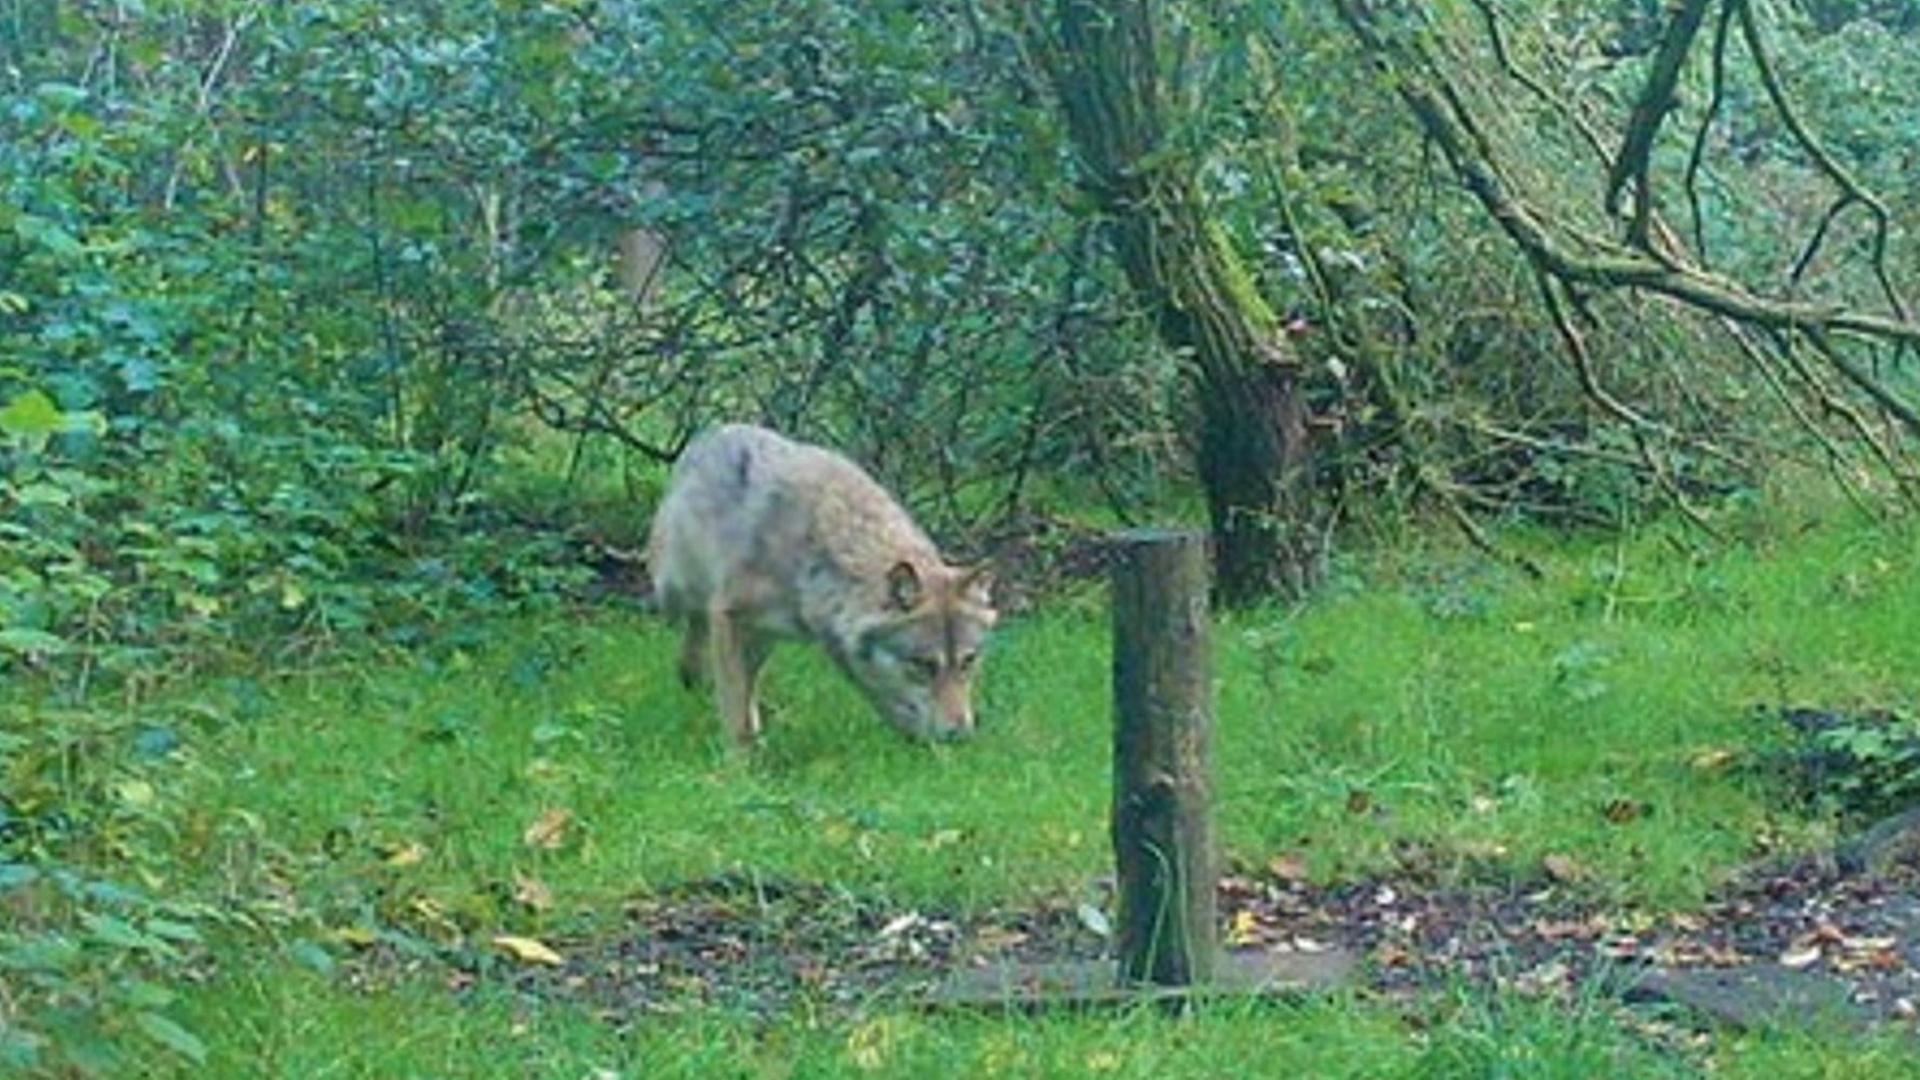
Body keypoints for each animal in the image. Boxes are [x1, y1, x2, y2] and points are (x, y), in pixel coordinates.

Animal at [645, 423, 997, 746]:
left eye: (969, 661)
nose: (961, 736)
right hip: (676, 592)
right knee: (694, 630)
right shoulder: (728, 615)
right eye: (923, 665)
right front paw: (741, 765)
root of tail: (712, 433)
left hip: (763, 638)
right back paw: (693, 679)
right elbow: (735, 708)